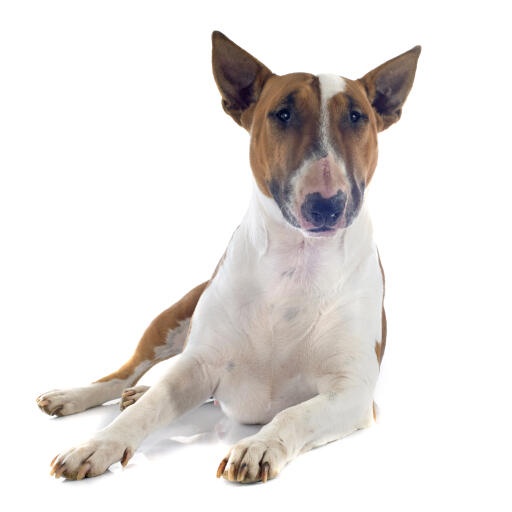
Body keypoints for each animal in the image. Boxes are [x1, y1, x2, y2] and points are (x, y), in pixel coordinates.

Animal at [37, 33, 420, 484]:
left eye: (357, 117)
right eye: (282, 113)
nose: (326, 206)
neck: (298, 262)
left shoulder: (353, 393)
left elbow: (295, 414)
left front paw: (258, 445)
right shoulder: (198, 366)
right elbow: (151, 407)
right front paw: (97, 445)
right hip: (171, 319)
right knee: (123, 374)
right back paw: (76, 395)